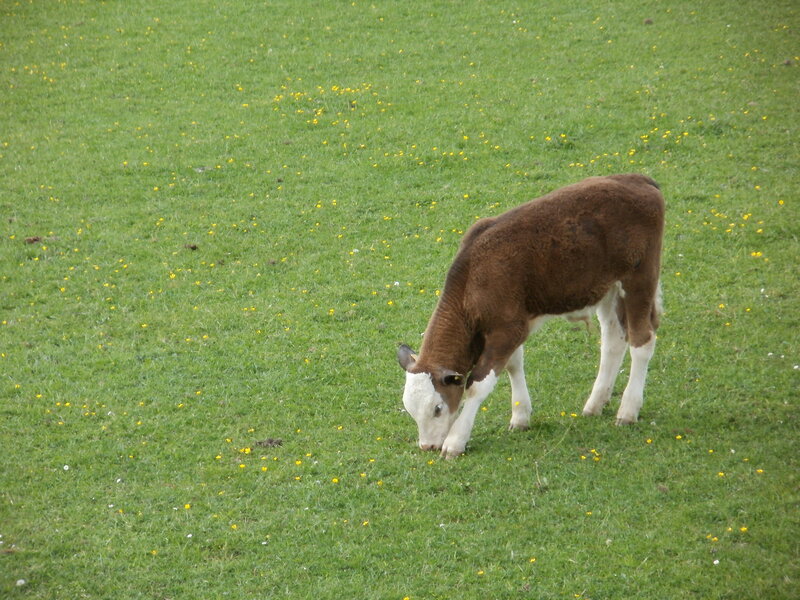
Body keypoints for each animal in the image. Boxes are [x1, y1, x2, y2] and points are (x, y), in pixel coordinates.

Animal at [397, 174, 665, 458]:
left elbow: (478, 384)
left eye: (437, 408)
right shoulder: (511, 324)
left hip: (639, 280)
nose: (427, 445)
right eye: (411, 411)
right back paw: (595, 404)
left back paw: (628, 410)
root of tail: (637, 180)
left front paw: (455, 441)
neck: (474, 277)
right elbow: (514, 364)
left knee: (642, 341)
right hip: (607, 289)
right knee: (613, 341)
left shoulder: (507, 328)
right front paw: (521, 416)